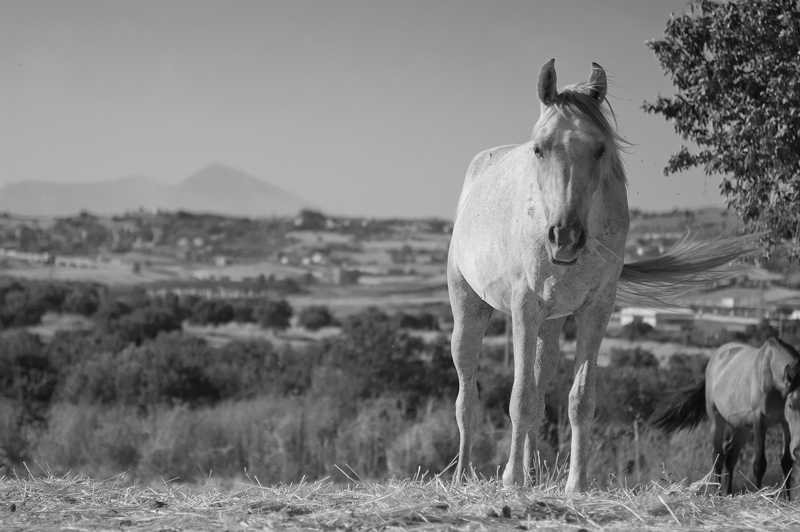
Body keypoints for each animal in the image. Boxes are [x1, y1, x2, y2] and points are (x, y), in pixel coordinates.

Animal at [447, 58, 757, 494]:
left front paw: (575, 484)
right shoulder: (525, 307)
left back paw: (533, 474)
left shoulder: (596, 310)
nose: (565, 237)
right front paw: (511, 481)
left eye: (599, 148)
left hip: (550, 326)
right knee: (467, 397)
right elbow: (519, 399)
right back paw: (463, 476)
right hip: (469, 309)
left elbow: (578, 400)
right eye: (539, 148)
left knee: (540, 390)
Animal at [650, 338, 800, 498]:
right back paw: (718, 493)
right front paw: (758, 494)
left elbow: (787, 463)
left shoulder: (786, 424)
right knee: (718, 456)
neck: (770, 375)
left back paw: (727, 493)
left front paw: (787, 499)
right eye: (790, 405)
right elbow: (759, 464)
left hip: (742, 426)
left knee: (730, 455)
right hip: (717, 420)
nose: (798, 450)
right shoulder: (759, 421)